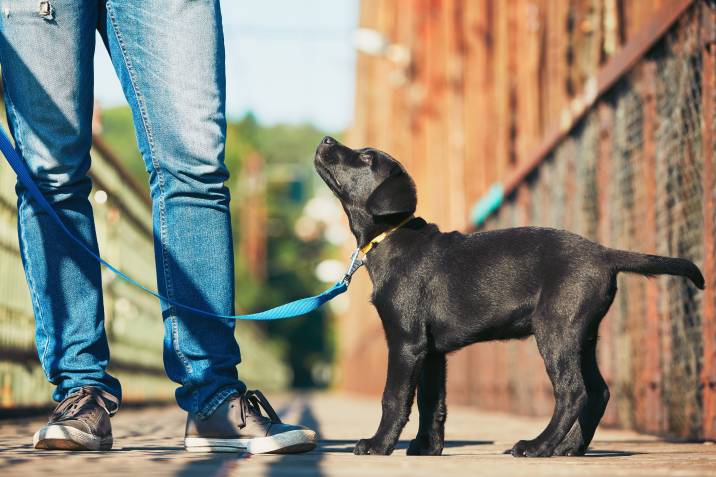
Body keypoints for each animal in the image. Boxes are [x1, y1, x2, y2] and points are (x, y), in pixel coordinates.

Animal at [316, 136, 708, 456]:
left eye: (366, 157)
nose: (326, 139)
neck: (391, 237)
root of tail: (604, 253)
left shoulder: (406, 342)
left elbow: (394, 398)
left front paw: (378, 444)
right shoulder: (431, 351)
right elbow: (432, 402)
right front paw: (426, 448)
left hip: (555, 329)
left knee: (573, 391)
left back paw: (538, 446)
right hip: (583, 335)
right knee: (598, 392)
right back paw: (568, 448)